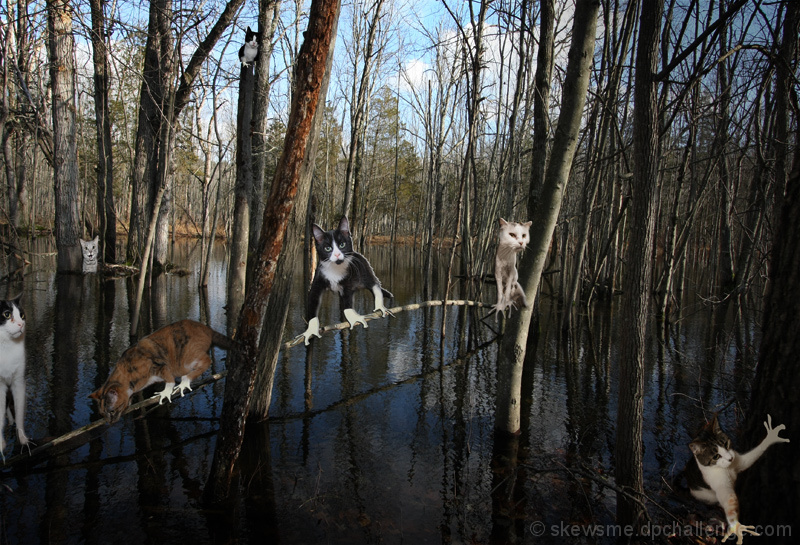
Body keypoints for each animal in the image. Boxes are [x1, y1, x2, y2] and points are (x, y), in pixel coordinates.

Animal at [92, 318, 234, 424]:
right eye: (102, 414)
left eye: (111, 411)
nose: (110, 422)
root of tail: (208, 329)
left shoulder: (158, 365)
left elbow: (170, 380)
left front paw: (165, 392)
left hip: (187, 359)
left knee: (207, 361)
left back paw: (185, 381)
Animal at [300, 214, 394, 344]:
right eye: (327, 248)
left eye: (342, 245)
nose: (337, 254)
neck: (335, 269)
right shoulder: (319, 277)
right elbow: (313, 299)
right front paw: (311, 329)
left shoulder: (349, 282)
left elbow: (348, 302)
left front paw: (353, 317)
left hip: (365, 268)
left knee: (374, 284)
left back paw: (380, 304)